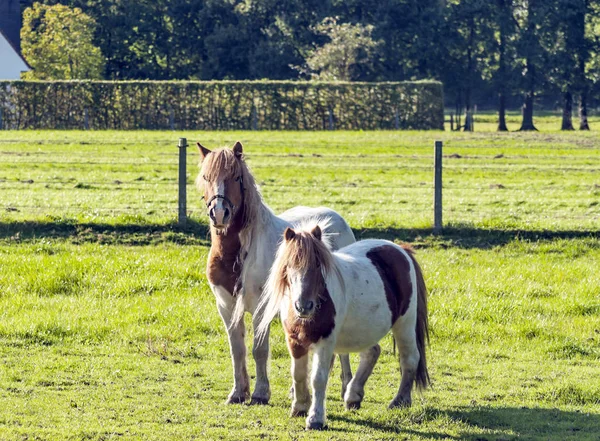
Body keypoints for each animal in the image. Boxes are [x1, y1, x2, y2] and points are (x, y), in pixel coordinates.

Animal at [197, 143, 356, 404]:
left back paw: (347, 389)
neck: (239, 252)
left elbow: (259, 349)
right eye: (205, 177)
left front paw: (260, 393)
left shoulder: (261, 307)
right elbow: (237, 350)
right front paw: (238, 392)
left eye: (236, 177)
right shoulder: (226, 307)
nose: (219, 213)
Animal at [255, 222, 428, 428]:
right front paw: (299, 407)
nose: (304, 306)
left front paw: (315, 418)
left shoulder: (325, 342)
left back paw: (400, 401)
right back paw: (353, 396)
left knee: (410, 358)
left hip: (405, 324)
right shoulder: (294, 341)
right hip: (365, 330)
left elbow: (318, 378)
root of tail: (401, 250)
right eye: (289, 266)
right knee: (372, 352)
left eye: (318, 264)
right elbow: (298, 374)